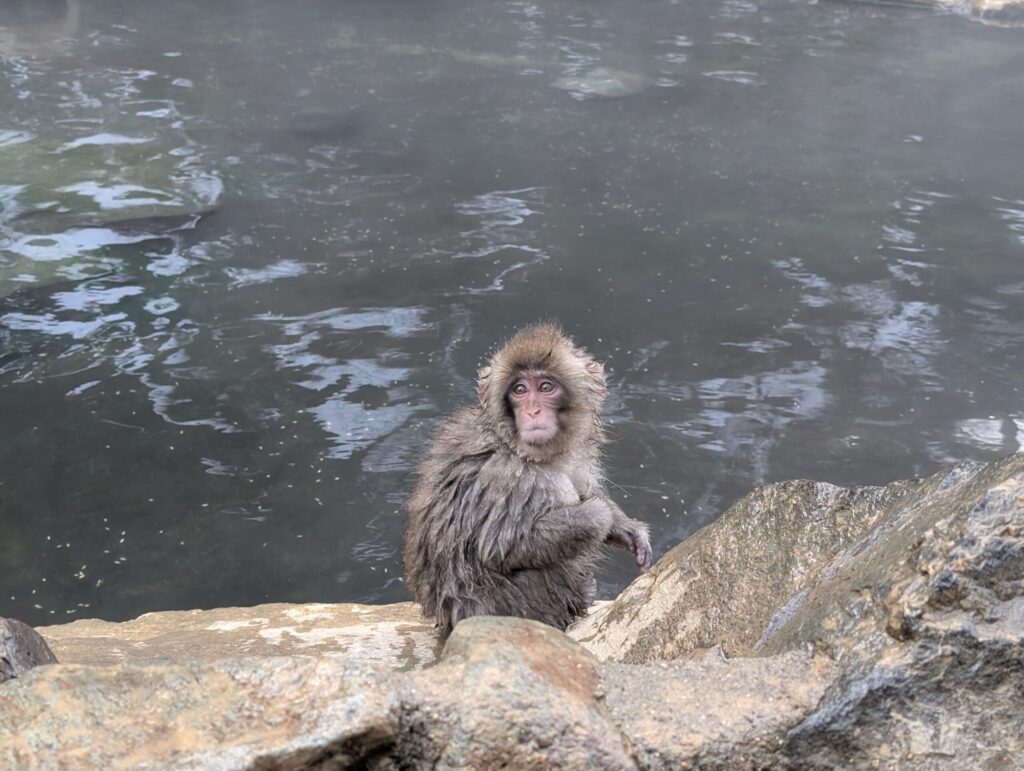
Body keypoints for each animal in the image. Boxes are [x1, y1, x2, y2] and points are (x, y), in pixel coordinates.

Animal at [403, 322, 652, 635]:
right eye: (519, 390)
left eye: (545, 387)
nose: (532, 411)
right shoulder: (508, 476)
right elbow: (503, 546)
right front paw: (601, 515)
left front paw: (626, 529)